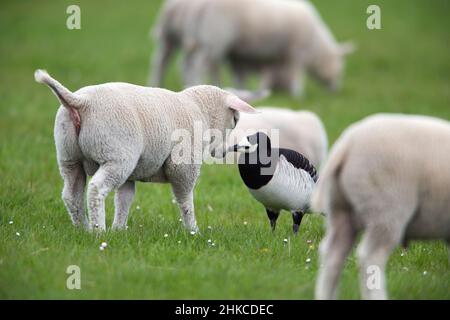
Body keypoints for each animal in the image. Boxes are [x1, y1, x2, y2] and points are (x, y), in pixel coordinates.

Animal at [34, 69, 256, 231]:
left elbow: (124, 199)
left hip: (69, 157)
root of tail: (81, 102)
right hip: (117, 156)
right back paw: (98, 231)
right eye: (235, 120)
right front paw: (193, 231)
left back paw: (84, 229)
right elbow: (185, 200)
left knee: (71, 195)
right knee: (96, 189)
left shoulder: (132, 174)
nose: (226, 151)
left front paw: (119, 230)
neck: (200, 109)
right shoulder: (183, 166)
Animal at [180, 0, 356, 95]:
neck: (315, 44)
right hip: (214, 39)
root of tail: (200, 5)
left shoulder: (240, 55)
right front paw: (297, 93)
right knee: (198, 65)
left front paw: (244, 91)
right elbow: (297, 73)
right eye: (341, 68)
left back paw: (189, 86)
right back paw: (194, 84)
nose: (335, 90)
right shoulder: (297, 51)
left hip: (199, 39)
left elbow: (242, 76)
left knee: (188, 63)